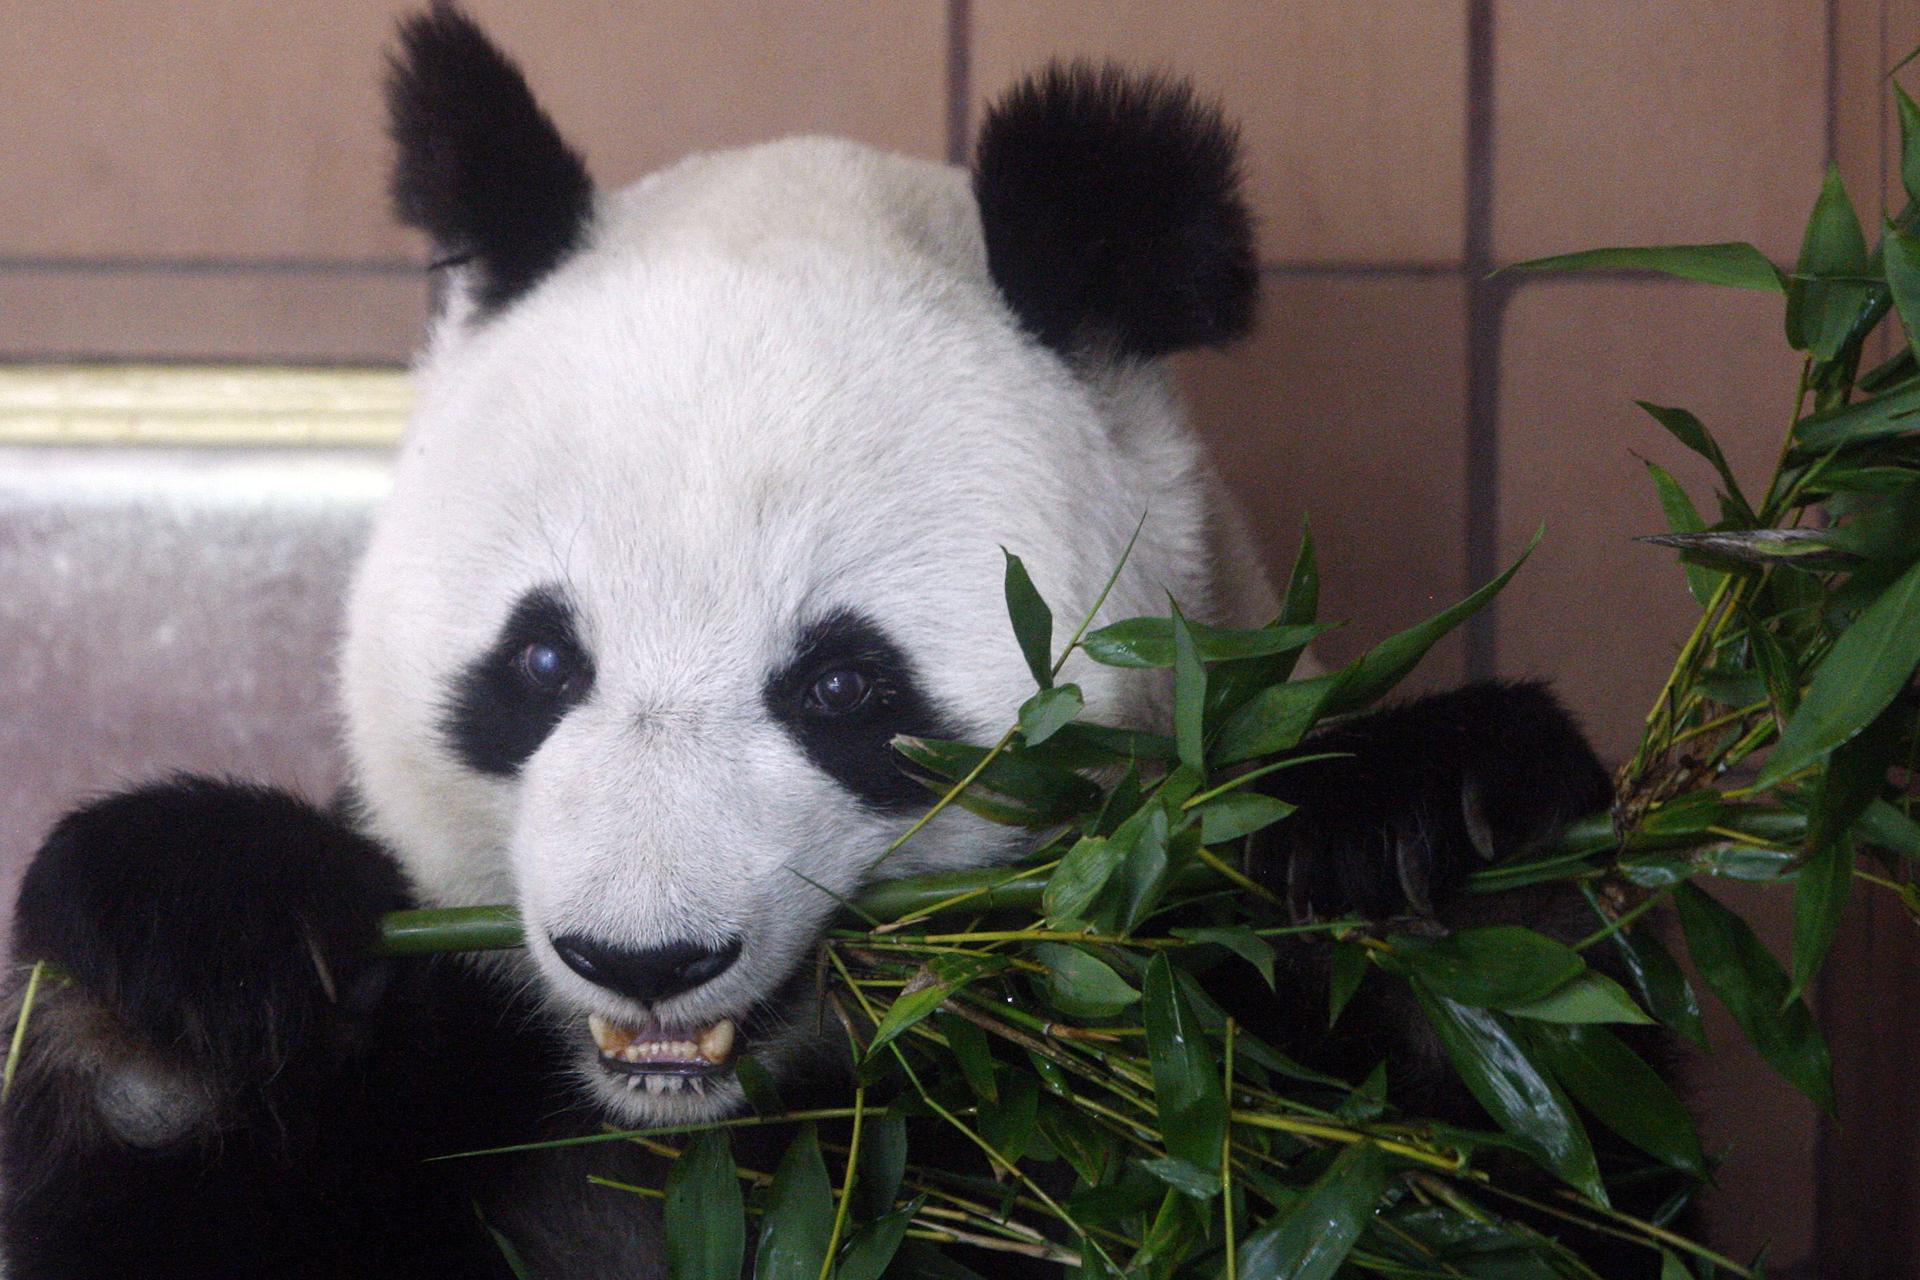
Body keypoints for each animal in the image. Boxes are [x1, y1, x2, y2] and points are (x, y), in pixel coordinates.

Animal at [0, 5, 1620, 1274]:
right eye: (541, 664)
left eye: (843, 684)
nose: (642, 957)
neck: (726, 1132)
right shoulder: (456, 1062)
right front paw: (199, 945)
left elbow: (1533, 1167)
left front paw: (1421, 839)